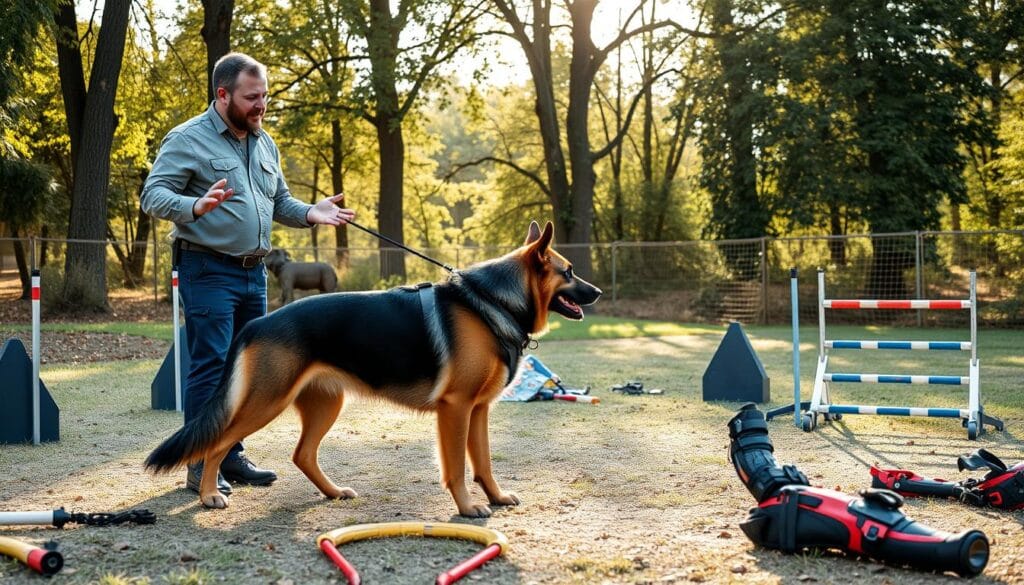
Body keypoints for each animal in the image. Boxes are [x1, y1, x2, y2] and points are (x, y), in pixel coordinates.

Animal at [148, 222, 602, 520]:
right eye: (569, 272)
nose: (597, 291)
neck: (493, 301)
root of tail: (257, 323)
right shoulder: (456, 409)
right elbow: (457, 466)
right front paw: (468, 507)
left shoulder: (479, 411)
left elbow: (484, 462)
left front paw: (494, 496)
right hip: (265, 403)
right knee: (216, 445)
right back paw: (209, 495)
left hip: (324, 405)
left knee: (302, 454)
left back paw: (332, 492)